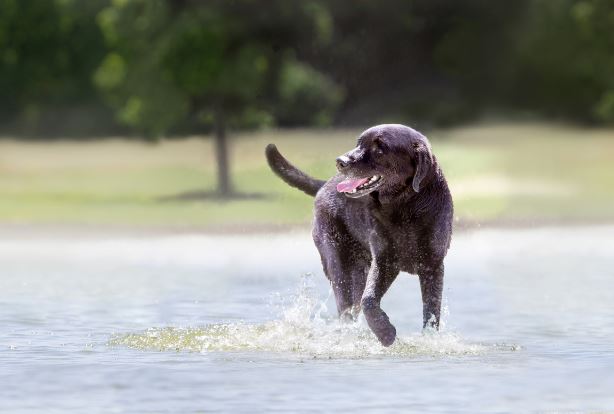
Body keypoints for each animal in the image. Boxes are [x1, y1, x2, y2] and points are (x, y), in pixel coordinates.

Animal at [268, 123, 454, 346]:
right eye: (359, 144)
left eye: (379, 148)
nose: (341, 161)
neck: (405, 207)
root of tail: (324, 185)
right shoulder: (384, 261)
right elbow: (369, 300)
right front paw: (386, 334)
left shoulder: (432, 265)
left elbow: (432, 309)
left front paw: (429, 339)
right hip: (341, 264)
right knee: (347, 307)